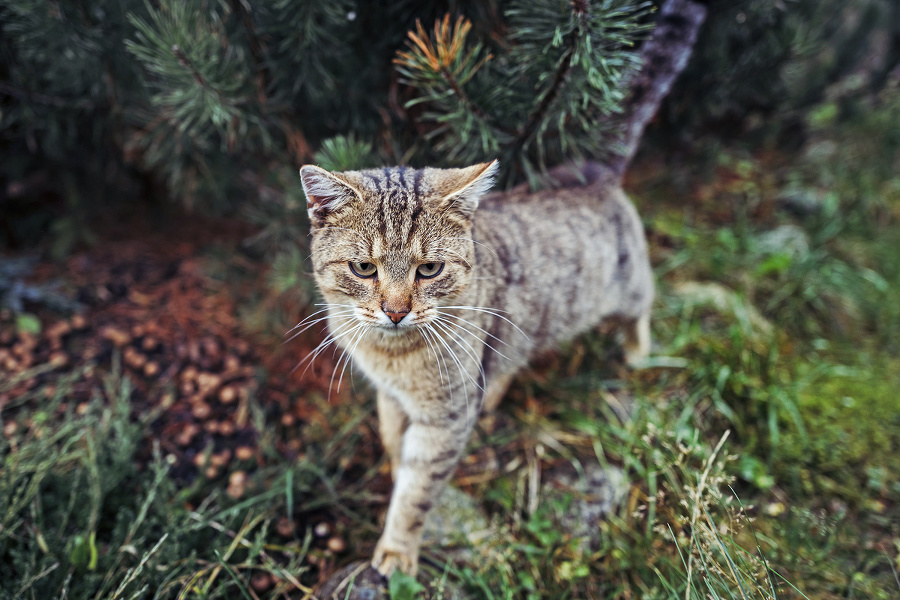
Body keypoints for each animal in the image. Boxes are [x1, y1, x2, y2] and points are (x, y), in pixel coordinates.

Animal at [298, 159, 652, 576]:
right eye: (363, 267)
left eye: (430, 269)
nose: (396, 312)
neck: (391, 353)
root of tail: (601, 172)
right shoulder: (390, 395)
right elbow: (392, 439)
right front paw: (396, 468)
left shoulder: (446, 419)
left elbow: (416, 493)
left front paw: (398, 550)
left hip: (630, 290)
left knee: (644, 307)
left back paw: (639, 351)